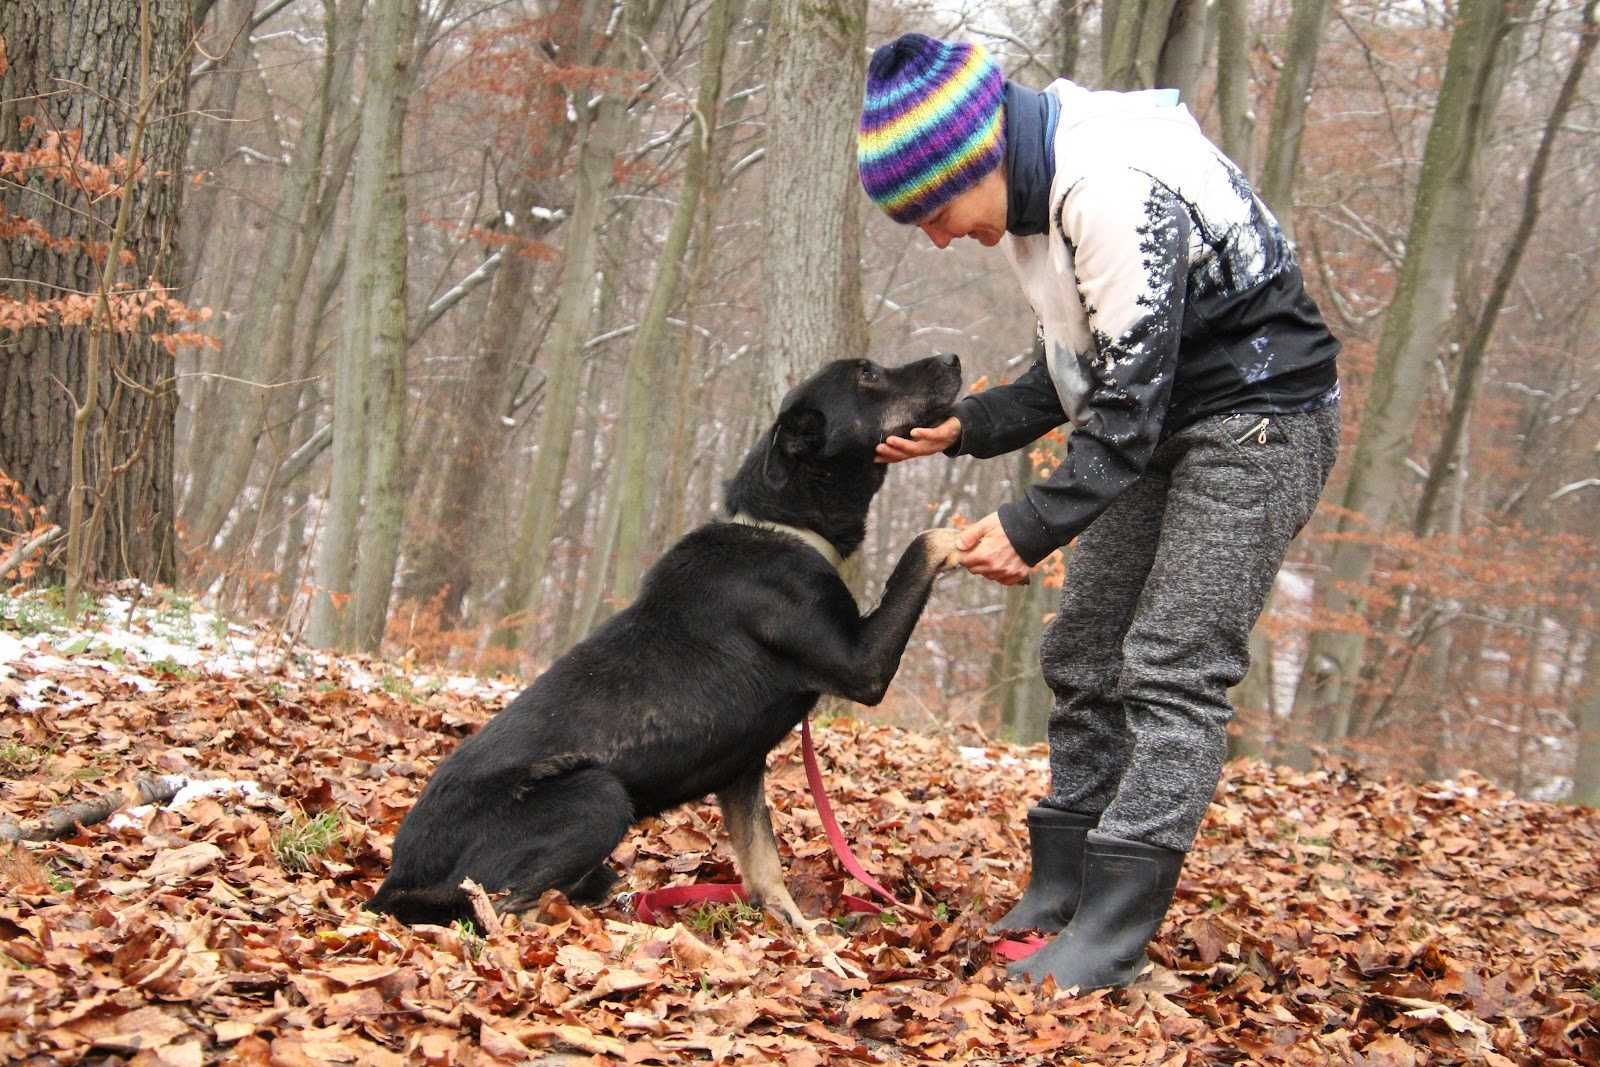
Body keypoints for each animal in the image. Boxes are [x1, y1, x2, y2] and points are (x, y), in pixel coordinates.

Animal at [366, 355, 953, 927]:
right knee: (500, 908)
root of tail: (396, 879)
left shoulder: (742, 770)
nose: (953, 359)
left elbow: (765, 868)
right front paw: (963, 533)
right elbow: (924, 546)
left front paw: (806, 938)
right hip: (597, 796)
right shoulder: (862, 666)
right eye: (868, 374)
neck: (781, 526)